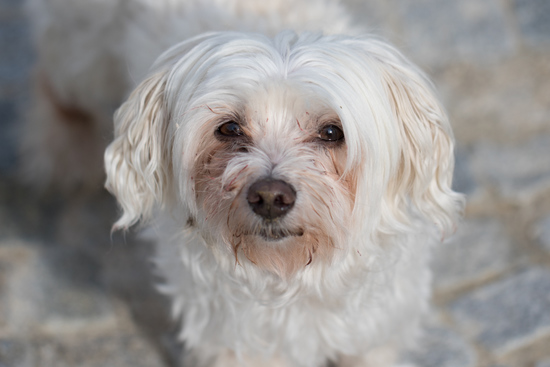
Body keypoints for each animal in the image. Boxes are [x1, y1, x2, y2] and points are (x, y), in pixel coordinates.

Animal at [24, 0, 466, 367]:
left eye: (331, 132)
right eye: (229, 128)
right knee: (54, 80)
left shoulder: (374, 334)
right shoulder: (236, 343)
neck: (291, 278)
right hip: (83, 53)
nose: (270, 197)